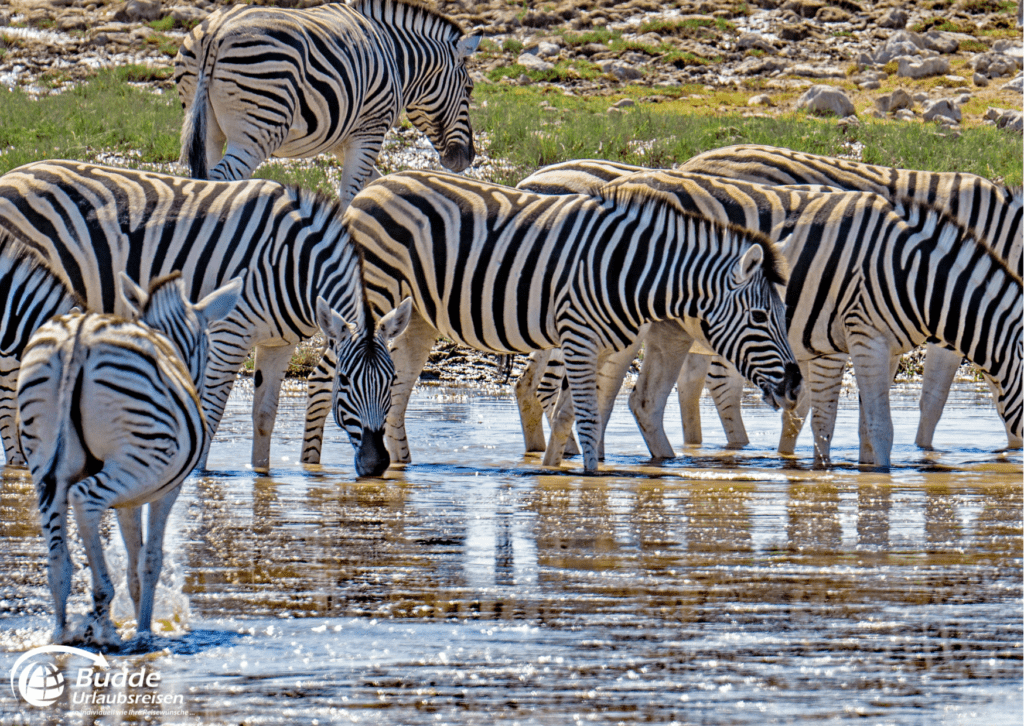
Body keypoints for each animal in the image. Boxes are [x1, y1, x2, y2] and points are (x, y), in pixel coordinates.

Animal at [0, 159, 409, 475]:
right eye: (345, 380)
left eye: (391, 381)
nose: (376, 466)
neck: (293, 265)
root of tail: (14, 174)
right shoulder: (229, 333)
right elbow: (211, 412)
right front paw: (198, 476)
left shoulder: (278, 343)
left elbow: (265, 416)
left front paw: (261, 474)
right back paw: (18, 465)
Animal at [18, 268, 241, 643]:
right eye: (208, 350)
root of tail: (78, 338)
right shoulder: (164, 489)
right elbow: (150, 560)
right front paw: (145, 631)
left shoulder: (130, 498)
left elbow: (134, 564)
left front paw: (140, 619)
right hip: (137, 460)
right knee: (85, 499)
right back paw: (103, 621)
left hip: (45, 462)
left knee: (58, 561)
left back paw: (63, 631)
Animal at [174, 0, 477, 207]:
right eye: (469, 90)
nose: (469, 158)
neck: (395, 58)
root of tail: (216, 31)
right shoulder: (370, 129)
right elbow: (350, 193)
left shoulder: (343, 137)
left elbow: (375, 182)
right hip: (258, 131)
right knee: (222, 178)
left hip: (206, 126)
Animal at [303, 169, 798, 471]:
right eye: (759, 316)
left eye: (783, 313)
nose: (794, 386)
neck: (632, 271)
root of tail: (374, 186)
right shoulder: (578, 337)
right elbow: (586, 418)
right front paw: (588, 483)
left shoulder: (608, 345)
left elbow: (571, 415)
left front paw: (555, 473)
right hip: (372, 293)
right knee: (325, 376)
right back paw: (311, 465)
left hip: (417, 318)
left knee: (400, 390)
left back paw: (403, 465)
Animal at [679, 142, 1024, 446]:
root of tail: (689, 163)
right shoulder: (952, 323)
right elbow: (934, 402)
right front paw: (924, 454)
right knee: (721, 383)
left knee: (689, 382)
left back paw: (694, 446)